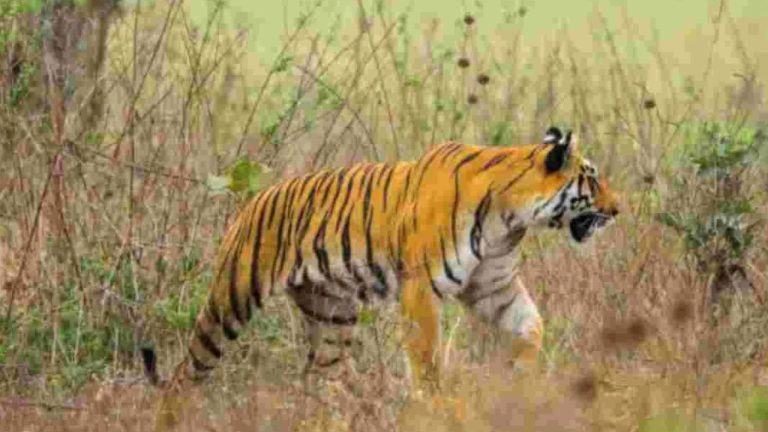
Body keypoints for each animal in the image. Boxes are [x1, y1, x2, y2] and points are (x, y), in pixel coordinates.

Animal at [141, 126, 620, 430]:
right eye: (592, 179)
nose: (619, 209)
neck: (512, 216)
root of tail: (257, 197)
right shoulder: (422, 286)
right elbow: (426, 359)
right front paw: (435, 407)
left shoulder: (493, 286)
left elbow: (531, 324)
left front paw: (520, 374)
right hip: (231, 299)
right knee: (188, 370)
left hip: (332, 315)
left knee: (322, 380)